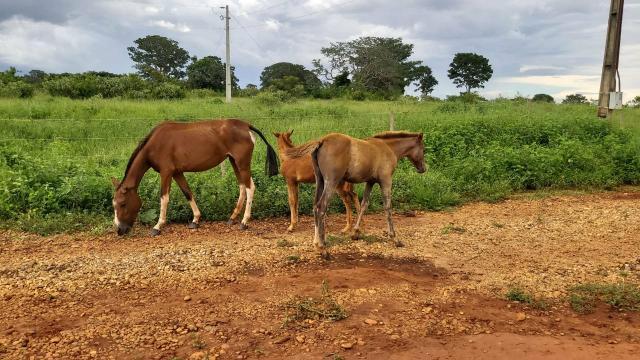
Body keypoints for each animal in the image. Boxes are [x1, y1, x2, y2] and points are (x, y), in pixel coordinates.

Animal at [109, 119, 278, 236]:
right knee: (242, 186)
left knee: (250, 187)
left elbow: (164, 198)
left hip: (242, 163)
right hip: (234, 162)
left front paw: (158, 226)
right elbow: (187, 193)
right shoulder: (177, 172)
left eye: (123, 203)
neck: (155, 144)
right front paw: (195, 220)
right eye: (114, 204)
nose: (120, 230)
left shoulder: (166, 172)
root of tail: (246, 125)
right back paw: (232, 217)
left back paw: (244, 221)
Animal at [288, 131, 428, 258]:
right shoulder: (386, 180)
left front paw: (355, 233)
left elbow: (364, 204)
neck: (388, 148)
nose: (423, 168)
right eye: (423, 149)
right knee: (321, 207)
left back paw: (316, 244)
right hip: (332, 181)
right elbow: (387, 207)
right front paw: (395, 239)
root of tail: (322, 141)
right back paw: (323, 249)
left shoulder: (370, 182)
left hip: (320, 181)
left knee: (315, 206)